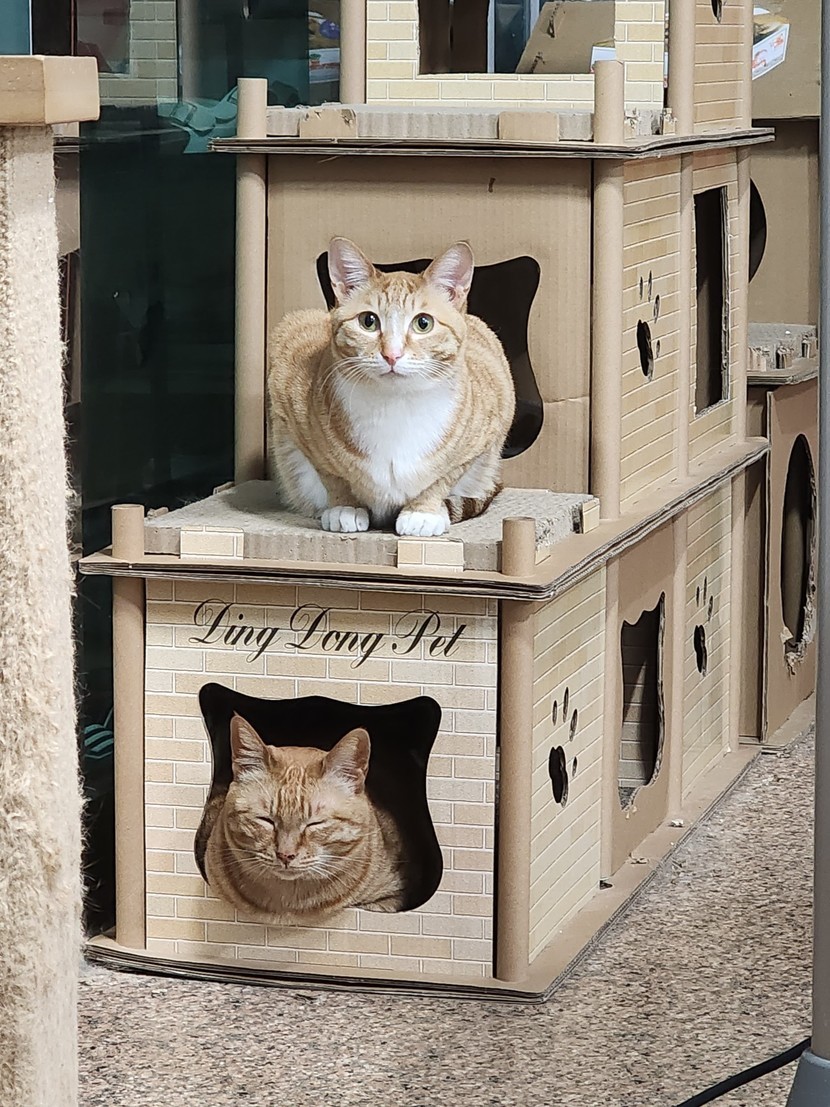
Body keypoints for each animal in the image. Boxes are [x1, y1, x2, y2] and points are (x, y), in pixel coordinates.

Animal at [267, 237, 516, 537]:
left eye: (423, 323)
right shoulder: (288, 399)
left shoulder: (488, 425)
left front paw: (423, 512)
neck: (396, 405)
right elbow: (332, 474)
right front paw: (345, 507)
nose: (392, 355)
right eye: (368, 321)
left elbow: (444, 476)